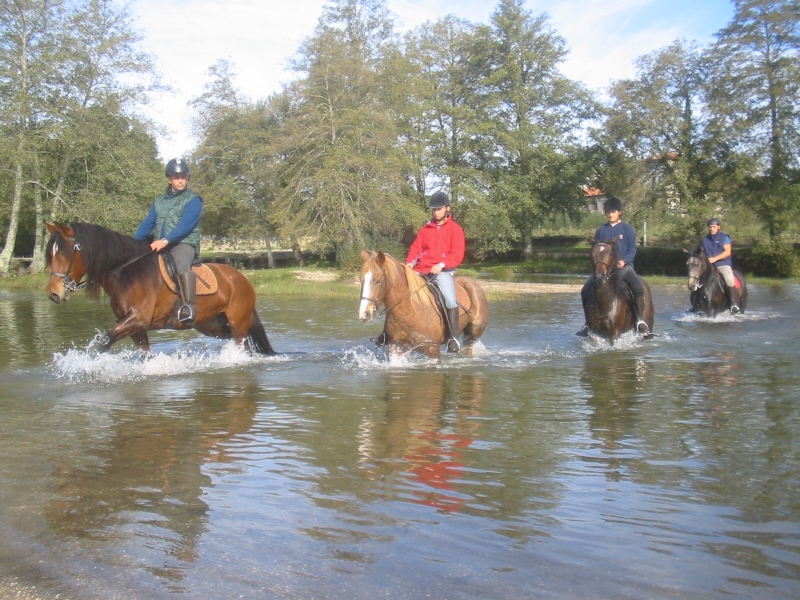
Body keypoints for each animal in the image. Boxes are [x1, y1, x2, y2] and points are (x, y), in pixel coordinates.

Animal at [45, 223, 276, 354]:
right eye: (51, 254)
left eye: (64, 253)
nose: (53, 293)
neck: (129, 273)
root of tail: (242, 279)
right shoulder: (134, 326)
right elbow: (144, 353)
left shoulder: (138, 319)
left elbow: (104, 341)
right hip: (211, 325)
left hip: (238, 323)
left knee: (243, 345)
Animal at [358, 251, 488, 358]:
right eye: (361, 280)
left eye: (377, 281)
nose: (364, 314)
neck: (411, 309)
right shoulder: (395, 346)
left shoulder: (432, 348)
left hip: (472, 336)